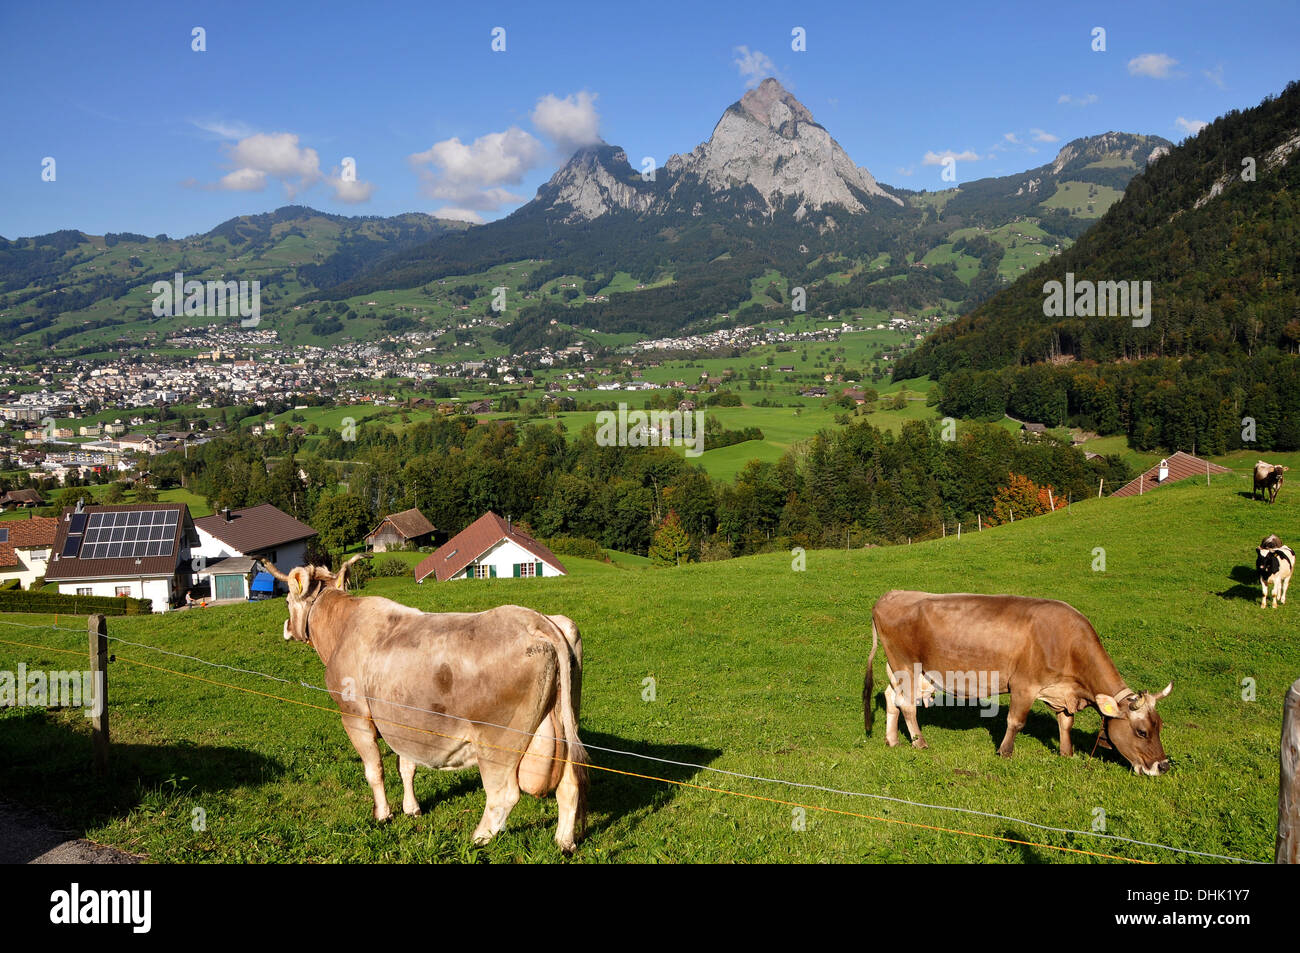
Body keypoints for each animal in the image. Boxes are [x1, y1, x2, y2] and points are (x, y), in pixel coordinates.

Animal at [263, 553, 590, 852]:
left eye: (286, 600)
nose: (286, 628)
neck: (342, 627)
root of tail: (536, 620)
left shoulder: (355, 716)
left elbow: (374, 769)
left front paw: (383, 815)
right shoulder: (403, 719)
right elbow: (406, 765)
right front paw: (412, 808)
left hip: (498, 740)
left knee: (504, 794)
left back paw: (477, 838)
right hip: (563, 724)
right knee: (570, 783)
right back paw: (564, 842)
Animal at [863, 590, 1180, 774]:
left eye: (1160, 727)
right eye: (1141, 732)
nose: (1163, 766)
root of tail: (891, 594)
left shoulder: (1061, 691)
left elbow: (1066, 723)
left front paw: (1067, 753)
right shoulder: (1024, 685)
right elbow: (1016, 721)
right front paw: (1005, 752)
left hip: (903, 671)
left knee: (891, 697)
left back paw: (892, 740)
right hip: (907, 666)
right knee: (907, 705)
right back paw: (919, 742)